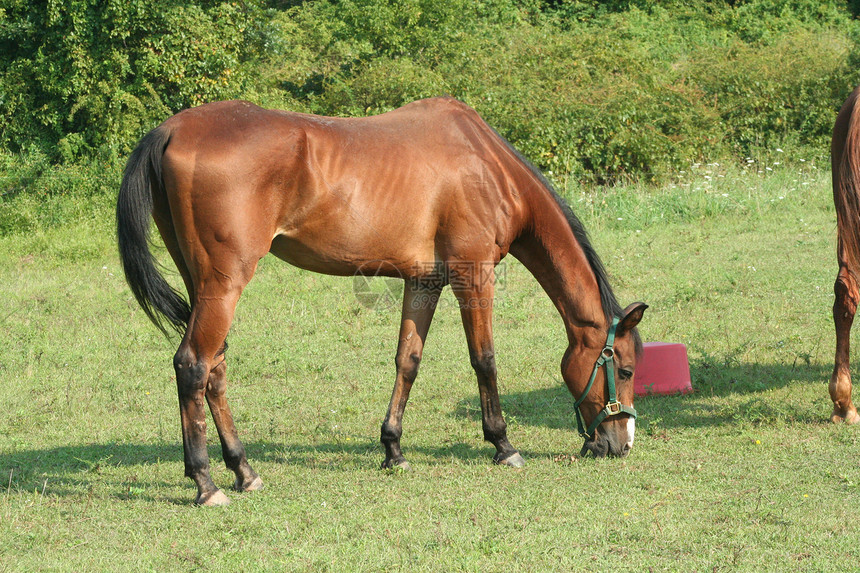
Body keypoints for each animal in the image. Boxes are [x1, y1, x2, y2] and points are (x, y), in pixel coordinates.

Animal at [117, 98, 648, 504]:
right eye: (624, 369)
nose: (620, 444)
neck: (486, 165)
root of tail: (170, 129)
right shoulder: (473, 275)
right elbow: (485, 360)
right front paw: (502, 444)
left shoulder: (424, 281)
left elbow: (407, 361)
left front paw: (393, 449)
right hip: (224, 283)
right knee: (193, 364)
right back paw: (206, 483)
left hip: (202, 283)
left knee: (216, 368)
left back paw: (244, 470)